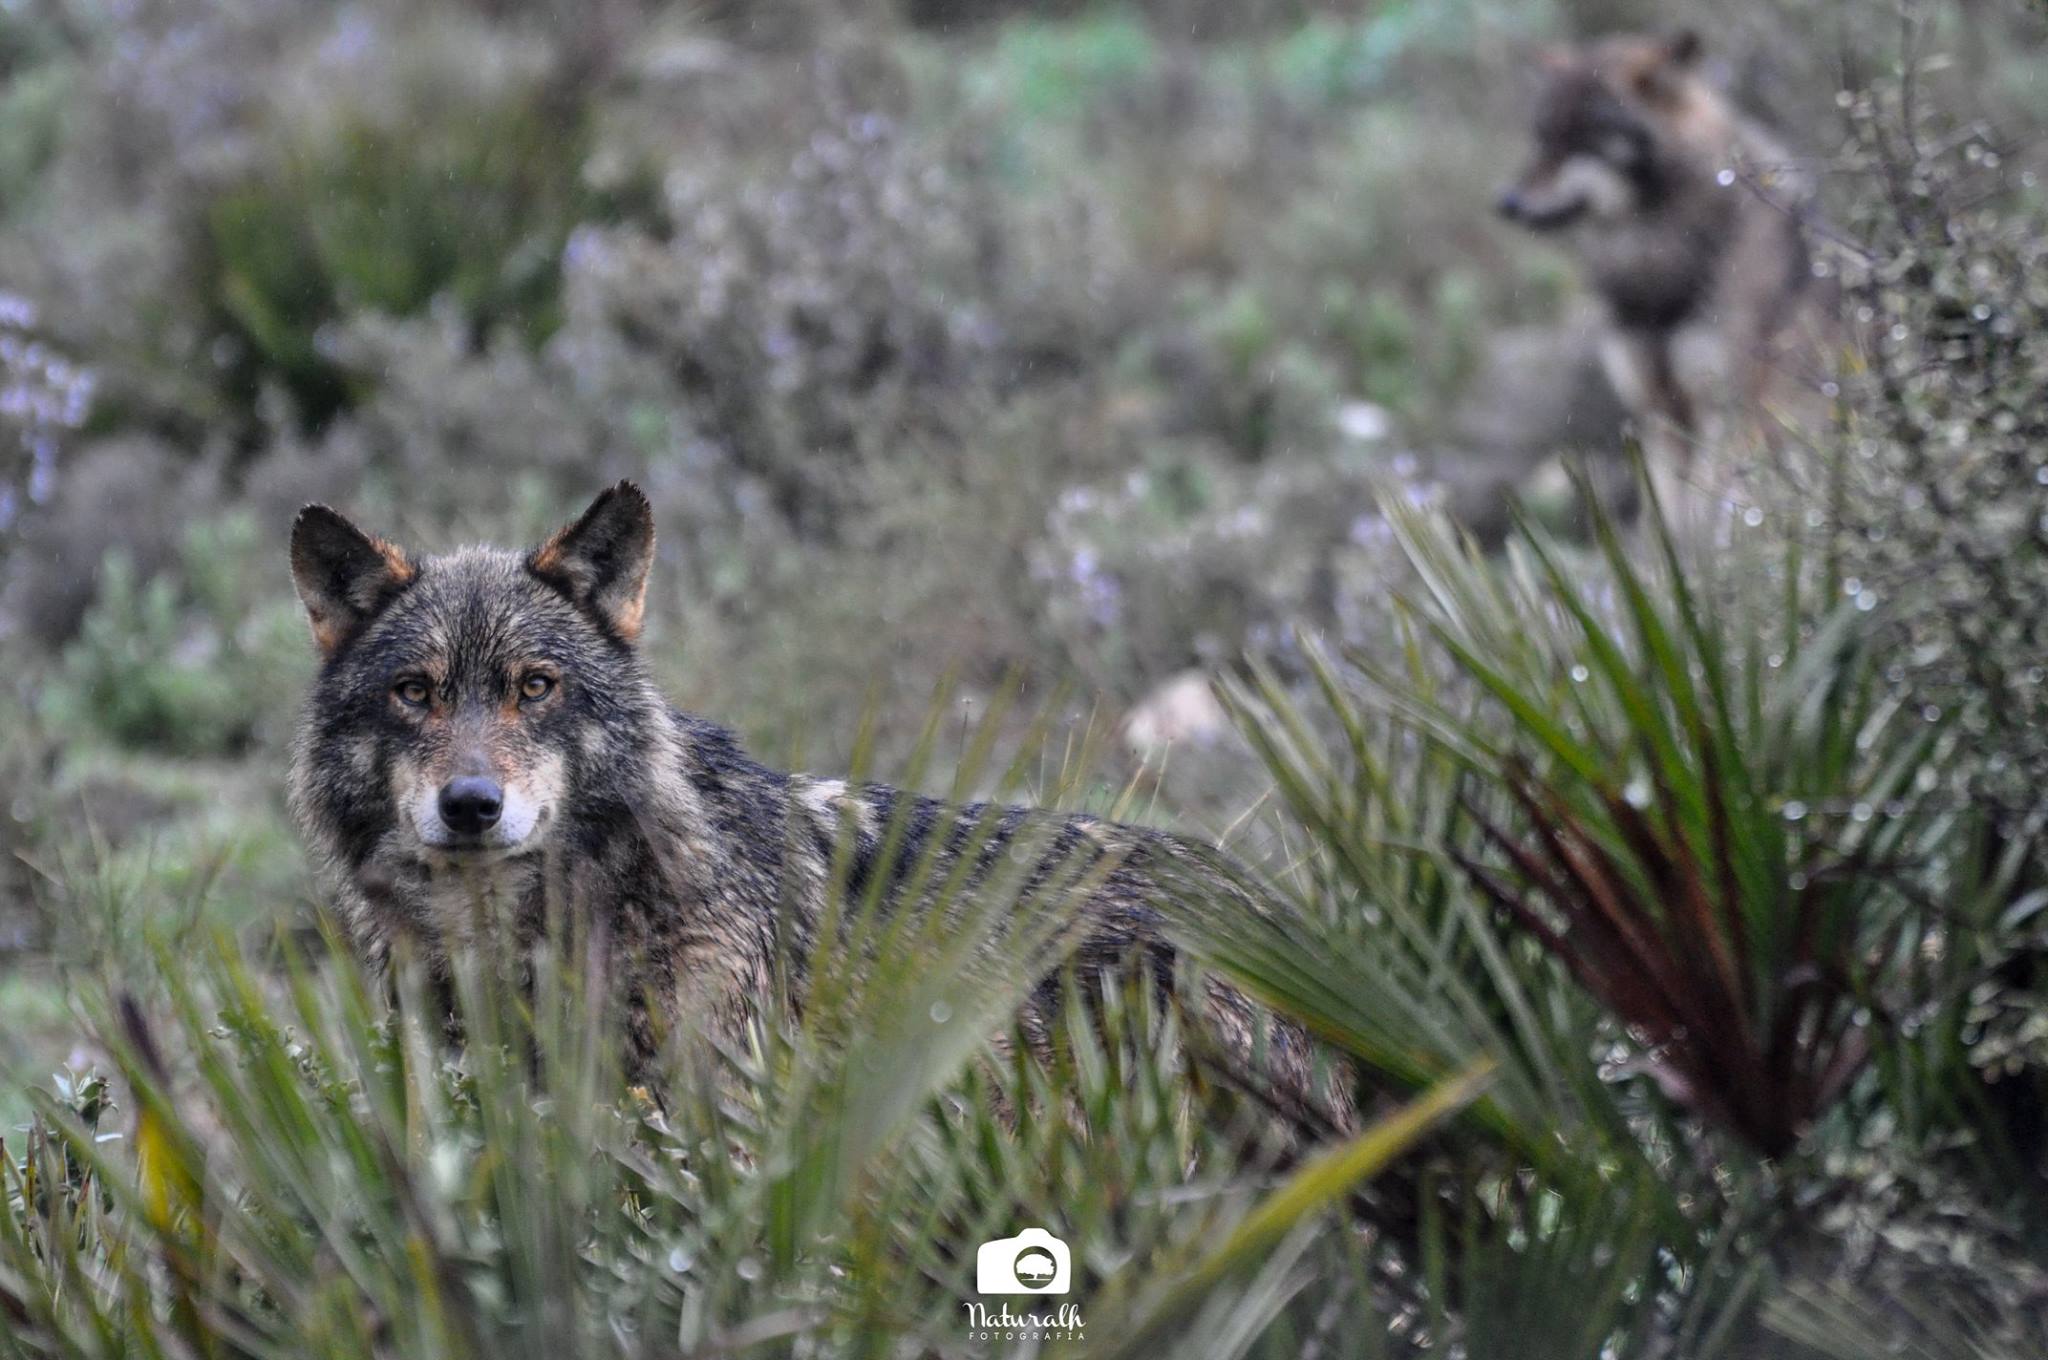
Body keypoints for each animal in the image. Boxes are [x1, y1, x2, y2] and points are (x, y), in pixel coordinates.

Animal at [1490, 31, 1826, 510]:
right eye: (1541, 137)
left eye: (1579, 139)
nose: (1506, 202)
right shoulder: (1658, 416)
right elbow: (1668, 515)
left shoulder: (1725, 415)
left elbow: (1711, 512)